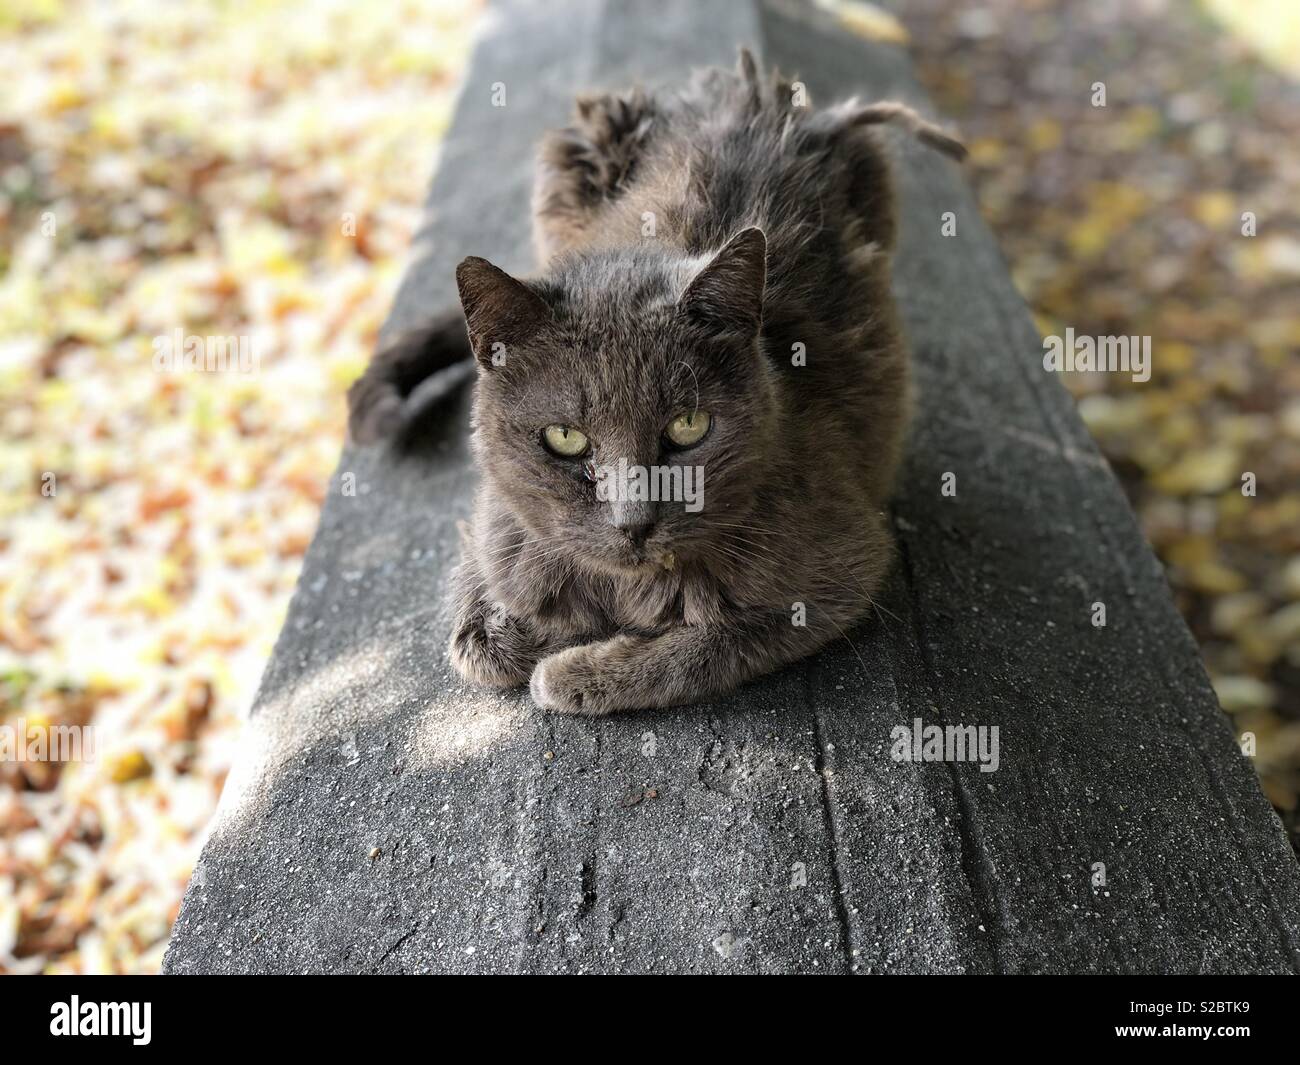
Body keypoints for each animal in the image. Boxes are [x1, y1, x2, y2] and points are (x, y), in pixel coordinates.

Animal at [348, 50, 967, 717]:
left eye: (689, 427)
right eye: (564, 439)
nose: (634, 524)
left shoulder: (842, 571)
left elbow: (706, 646)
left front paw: (570, 673)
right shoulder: (498, 523)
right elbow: (480, 621)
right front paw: (513, 627)